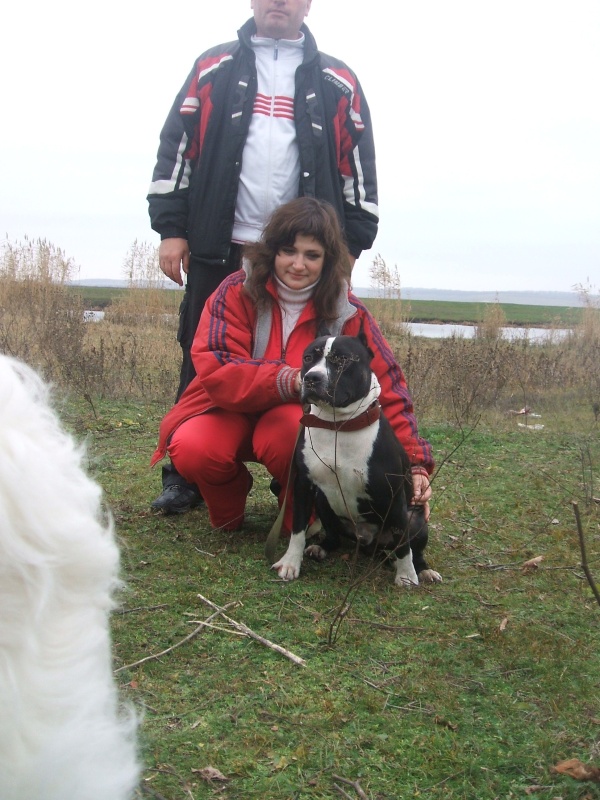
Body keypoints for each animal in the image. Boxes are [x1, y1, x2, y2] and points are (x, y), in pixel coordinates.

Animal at [272, 332, 442, 587]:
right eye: (308, 358)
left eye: (343, 360)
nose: (312, 378)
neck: (337, 426)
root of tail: (369, 541)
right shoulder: (303, 484)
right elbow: (298, 528)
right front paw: (291, 562)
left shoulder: (394, 497)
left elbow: (404, 545)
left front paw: (406, 575)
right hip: (323, 502)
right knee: (334, 536)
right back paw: (320, 548)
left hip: (416, 518)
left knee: (412, 547)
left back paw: (422, 570)